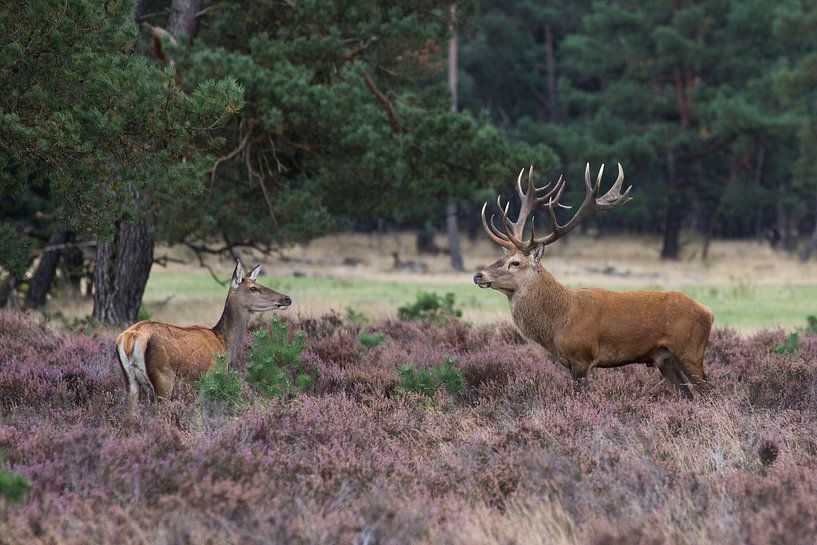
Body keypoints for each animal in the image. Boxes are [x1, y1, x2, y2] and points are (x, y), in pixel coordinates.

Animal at [116, 260, 292, 410]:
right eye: (253, 288)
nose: (287, 298)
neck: (224, 343)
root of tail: (130, 338)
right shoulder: (210, 376)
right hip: (163, 377)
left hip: (129, 380)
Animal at [473, 164, 714, 398]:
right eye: (501, 257)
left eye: (514, 262)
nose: (478, 275)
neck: (558, 324)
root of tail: (709, 312)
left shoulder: (582, 356)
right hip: (665, 358)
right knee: (687, 395)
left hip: (690, 351)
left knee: (709, 391)